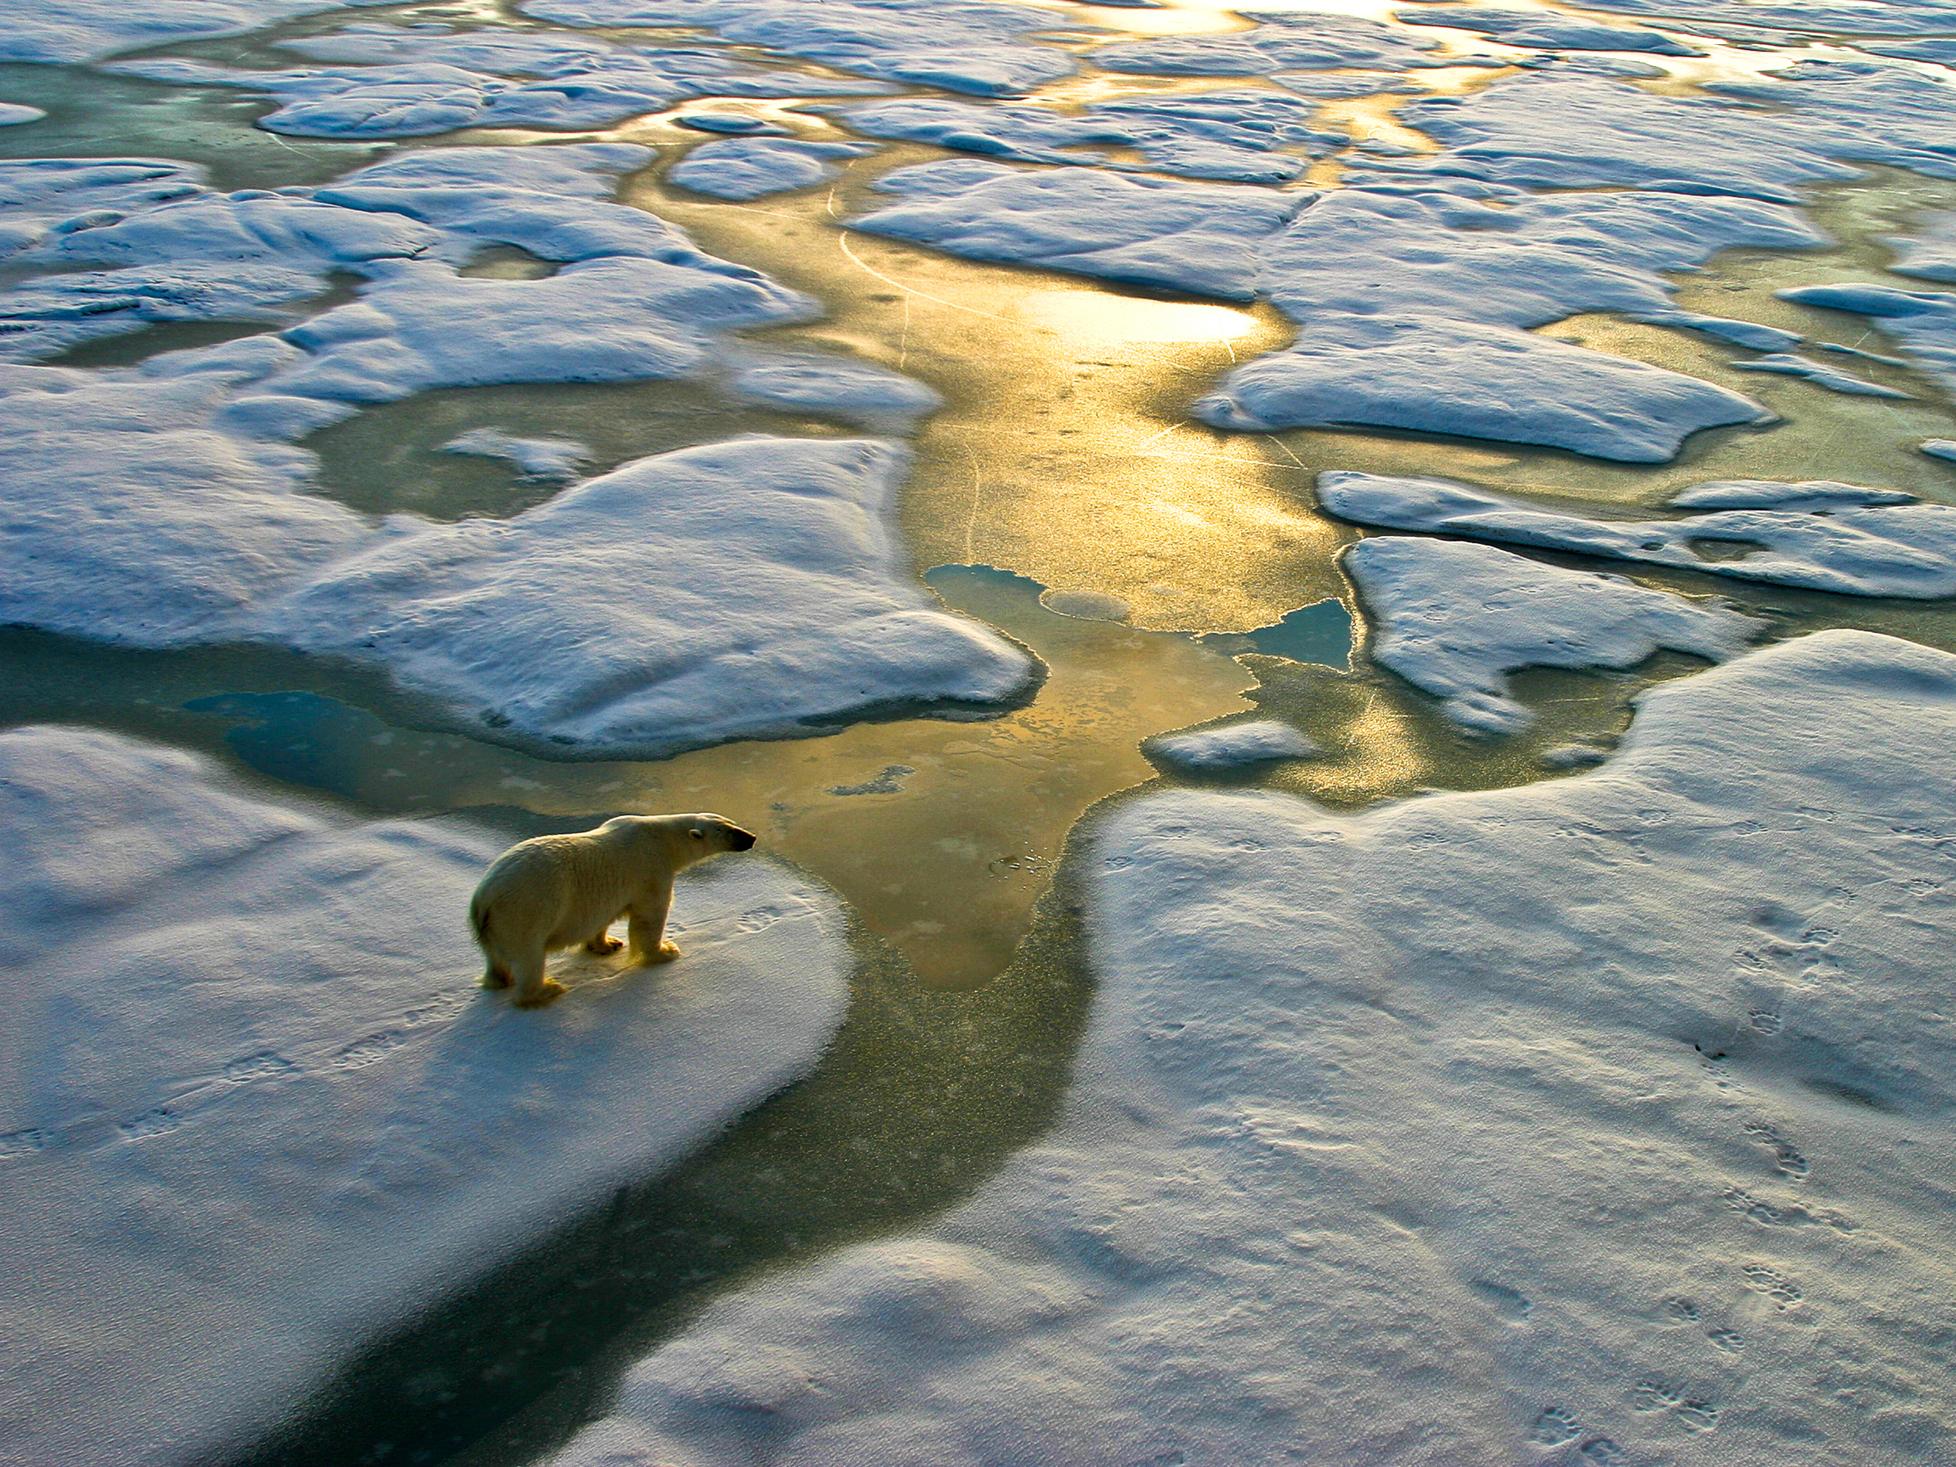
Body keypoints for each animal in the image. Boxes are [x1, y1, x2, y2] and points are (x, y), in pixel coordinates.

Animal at [469, 817, 758, 1009]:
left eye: (731, 822)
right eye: (727, 830)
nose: (752, 837)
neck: (661, 838)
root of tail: (483, 899)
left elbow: (603, 918)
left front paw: (608, 945)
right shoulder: (651, 870)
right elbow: (649, 917)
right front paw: (665, 951)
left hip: (494, 928)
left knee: (496, 959)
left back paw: (501, 980)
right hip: (525, 911)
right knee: (529, 957)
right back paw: (547, 990)